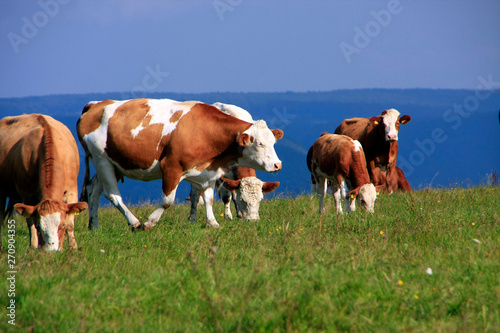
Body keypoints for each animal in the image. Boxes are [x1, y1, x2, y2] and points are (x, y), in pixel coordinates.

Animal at [0, 113, 88, 249]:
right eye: (39, 226)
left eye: (61, 225)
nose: (51, 250)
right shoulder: (27, 195)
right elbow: (30, 222)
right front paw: (34, 246)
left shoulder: (72, 190)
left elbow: (70, 223)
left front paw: (73, 247)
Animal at [76, 97, 284, 230]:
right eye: (260, 143)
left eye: (274, 142)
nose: (277, 165)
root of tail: (96, 104)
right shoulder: (171, 167)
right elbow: (168, 201)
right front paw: (151, 222)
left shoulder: (208, 172)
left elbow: (208, 198)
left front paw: (213, 223)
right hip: (101, 159)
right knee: (112, 195)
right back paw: (135, 223)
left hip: (111, 163)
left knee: (94, 189)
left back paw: (94, 226)